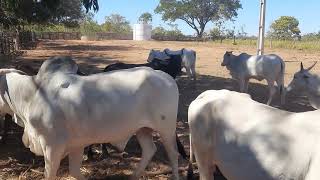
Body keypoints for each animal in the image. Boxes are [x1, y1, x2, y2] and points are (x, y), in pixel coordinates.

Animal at [0, 63, 181, 179]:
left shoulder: (52, 146)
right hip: (142, 129)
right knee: (149, 150)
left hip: (166, 128)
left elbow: (50, 174)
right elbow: (75, 172)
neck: (31, 95)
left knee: (173, 154)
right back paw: (134, 176)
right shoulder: (76, 145)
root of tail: (165, 76)